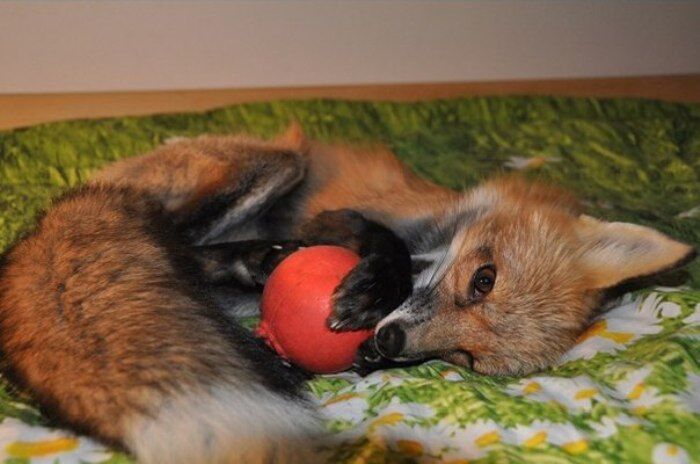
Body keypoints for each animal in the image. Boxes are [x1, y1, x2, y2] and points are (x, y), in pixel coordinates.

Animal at [0, 124, 695, 463]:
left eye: (466, 359)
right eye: (484, 280)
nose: (389, 339)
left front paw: (364, 349)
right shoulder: (338, 220)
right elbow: (386, 247)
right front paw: (367, 292)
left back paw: (258, 296)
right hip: (278, 163)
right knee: (175, 240)